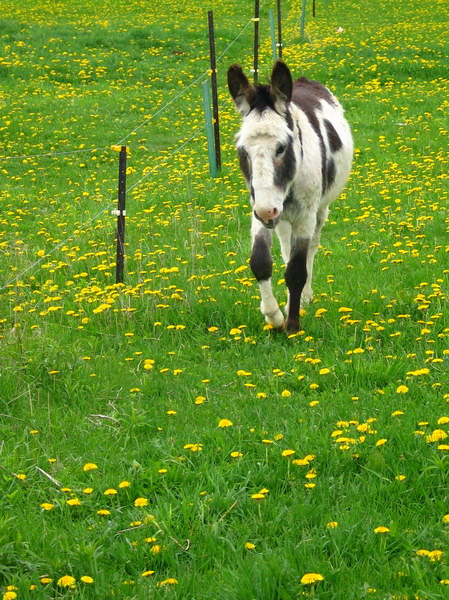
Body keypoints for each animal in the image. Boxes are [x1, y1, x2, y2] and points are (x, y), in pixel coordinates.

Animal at [228, 61, 354, 332]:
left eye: (282, 147)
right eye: (242, 150)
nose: (268, 211)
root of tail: (304, 80)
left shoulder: (305, 214)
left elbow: (297, 270)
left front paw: (293, 326)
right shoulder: (258, 209)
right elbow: (260, 262)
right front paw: (274, 316)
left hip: (317, 211)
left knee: (310, 250)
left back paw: (303, 299)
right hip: (282, 218)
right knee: (286, 249)